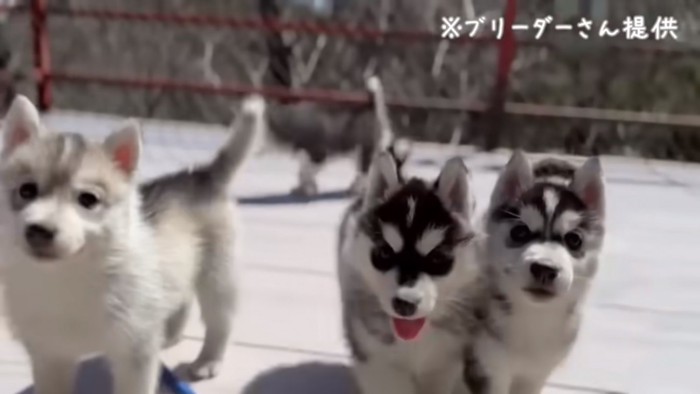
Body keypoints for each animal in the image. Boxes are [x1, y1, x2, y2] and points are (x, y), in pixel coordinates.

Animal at [0, 94, 262, 392]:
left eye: (88, 199)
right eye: (26, 190)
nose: (39, 231)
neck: (67, 276)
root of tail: (202, 176)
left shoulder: (135, 353)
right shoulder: (51, 354)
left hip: (218, 277)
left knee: (220, 320)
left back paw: (208, 361)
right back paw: (170, 334)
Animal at [258, 74, 410, 196]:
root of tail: (372, 106)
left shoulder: (319, 154)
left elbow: (306, 172)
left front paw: (307, 189)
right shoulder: (305, 155)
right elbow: (302, 172)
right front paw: (303, 188)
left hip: (363, 150)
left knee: (364, 172)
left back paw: (355, 189)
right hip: (372, 151)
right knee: (383, 167)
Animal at [462, 151, 604, 394]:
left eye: (574, 239)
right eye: (519, 232)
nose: (545, 269)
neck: (534, 317)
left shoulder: (536, 375)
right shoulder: (488, 366)